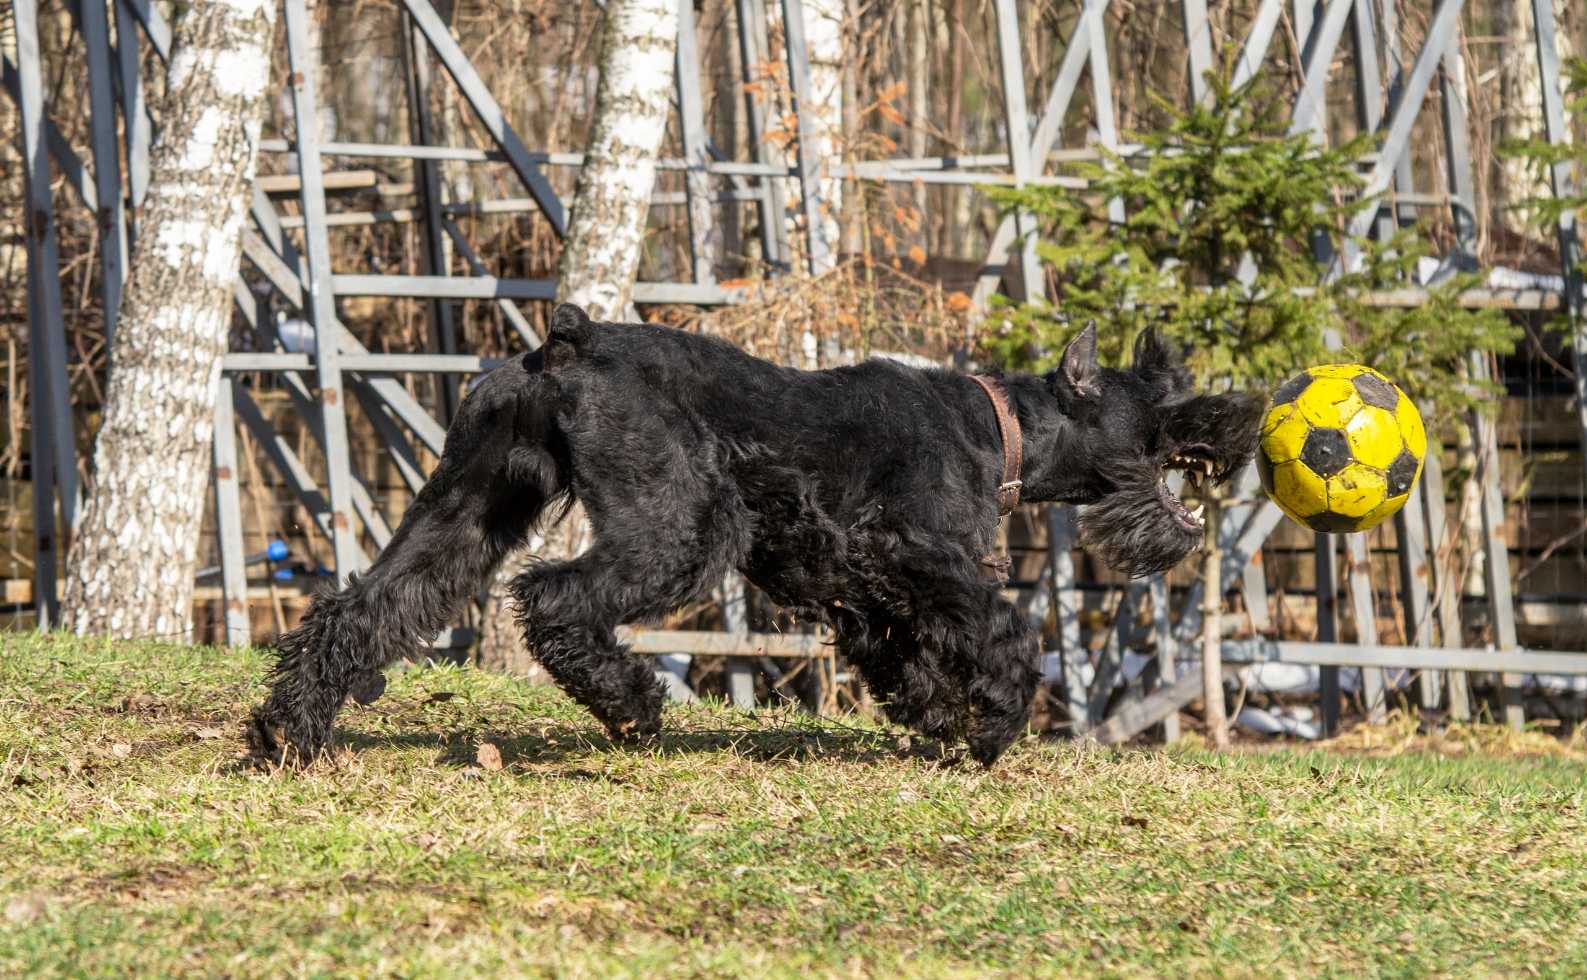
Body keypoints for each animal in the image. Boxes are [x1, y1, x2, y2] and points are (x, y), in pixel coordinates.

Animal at [247, 304, 1262, 766]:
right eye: (1164, 397)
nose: (1248, 415)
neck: (1002, 426)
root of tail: (568, 342)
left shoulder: (859, 584)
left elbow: (906, 654)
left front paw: (937, 719)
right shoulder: (916, 556)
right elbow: (1004, 628)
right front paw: (993, 722)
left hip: (465, 509)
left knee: (366, 606)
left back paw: (289, 732)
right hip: (680, 530)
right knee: (557, 599)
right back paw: (631, 707)